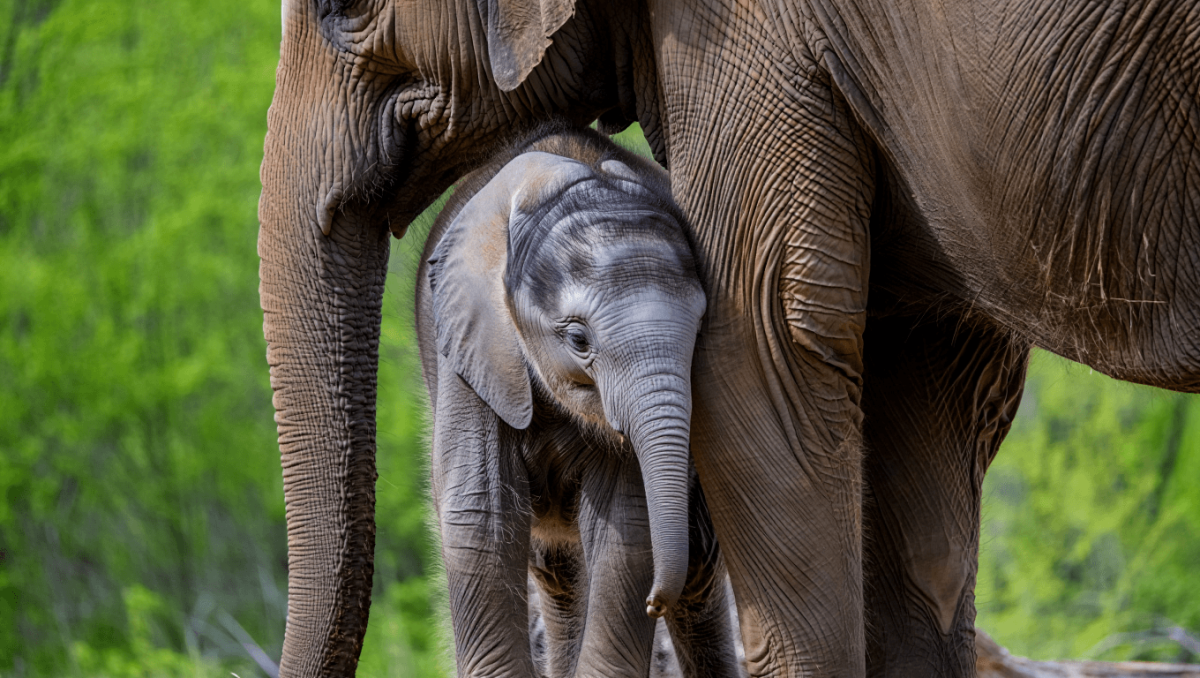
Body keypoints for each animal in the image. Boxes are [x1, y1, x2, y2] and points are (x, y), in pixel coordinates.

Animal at [414, 123, 740, 678]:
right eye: (578, 339)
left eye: (699, 330)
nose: (654, 602)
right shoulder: (468, 349)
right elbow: (482, 516)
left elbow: (626, 530)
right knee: (556, 571)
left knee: (696, 567)